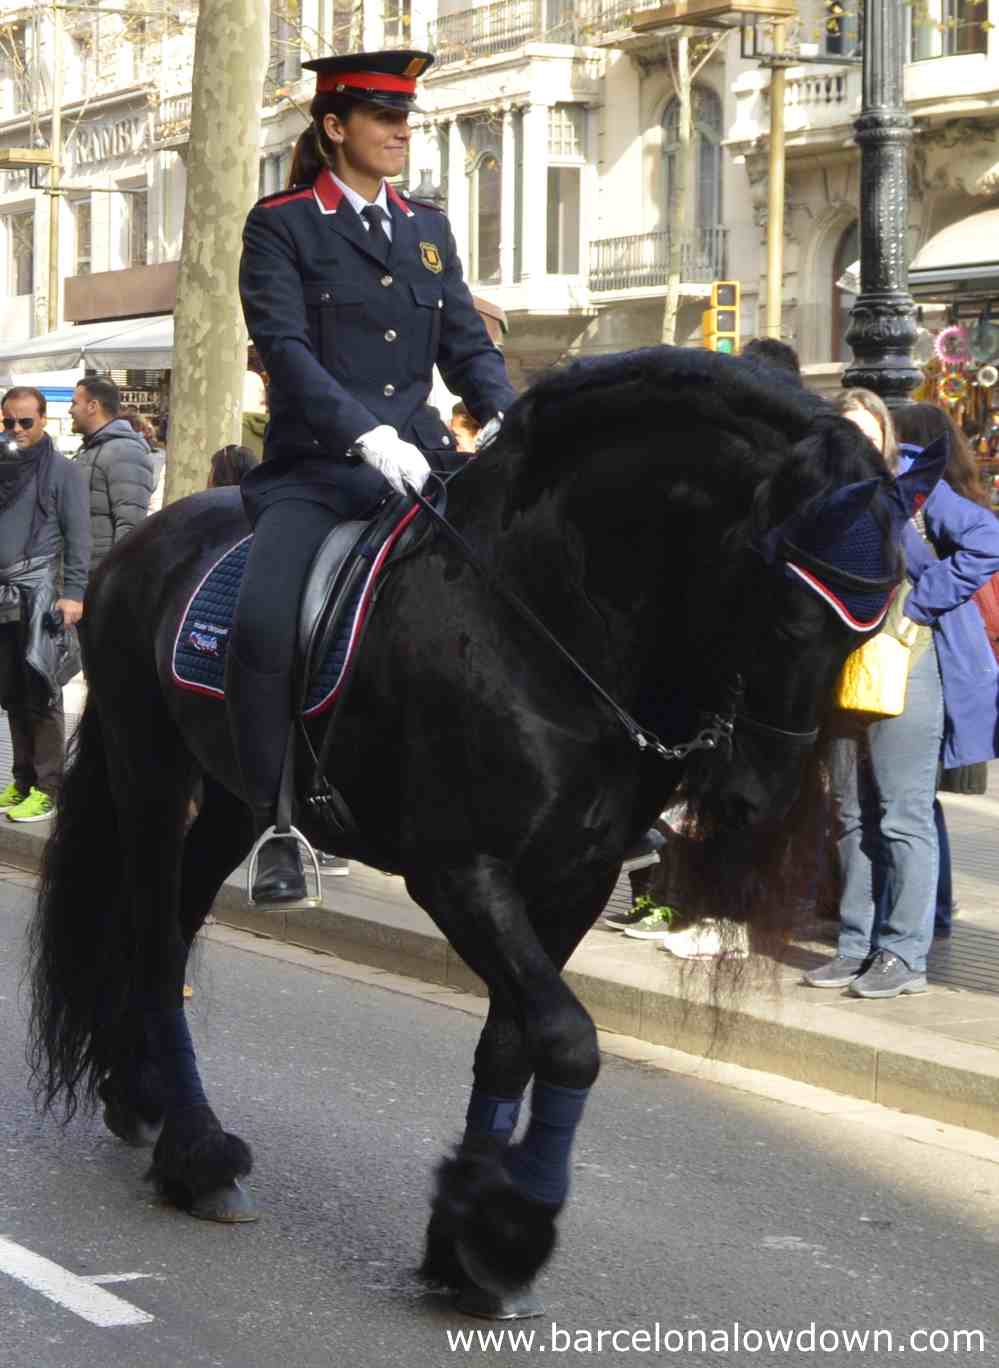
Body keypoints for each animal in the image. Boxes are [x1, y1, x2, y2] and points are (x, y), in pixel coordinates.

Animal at [27, 352, 936, 1313]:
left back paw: (147, 1098)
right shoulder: (459, 871)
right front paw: (513, 1230)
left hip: (236, 798)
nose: (750, 801)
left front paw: (461, 1239)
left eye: (869, 626)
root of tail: (132, 547)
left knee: (174, 926)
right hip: (152, 773)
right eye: (783, 611)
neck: (546, 615)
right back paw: (197, 1154)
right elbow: (569, 1041)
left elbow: (513, 1042)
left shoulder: (573, 876)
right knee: (155, 935)